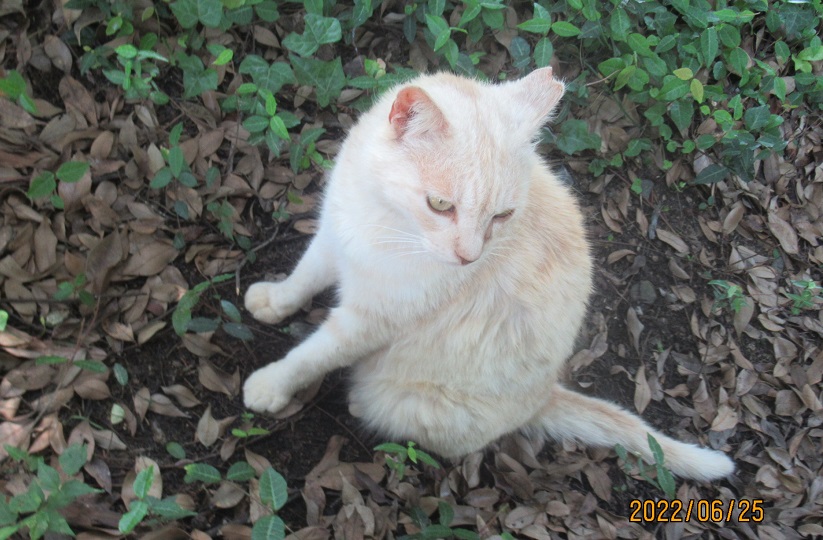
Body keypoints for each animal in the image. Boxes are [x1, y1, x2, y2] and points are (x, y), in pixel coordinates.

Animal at [243, 67, 734, 482]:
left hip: (408, 398)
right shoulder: (333, 235)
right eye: (441, 205)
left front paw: (271, 385)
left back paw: (360, 403)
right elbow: (303, 277)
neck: (387, 222)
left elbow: (313, 355)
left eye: (502, 216)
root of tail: (545, 395)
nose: (469, 257)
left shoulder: (372, 321)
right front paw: (272, 302)